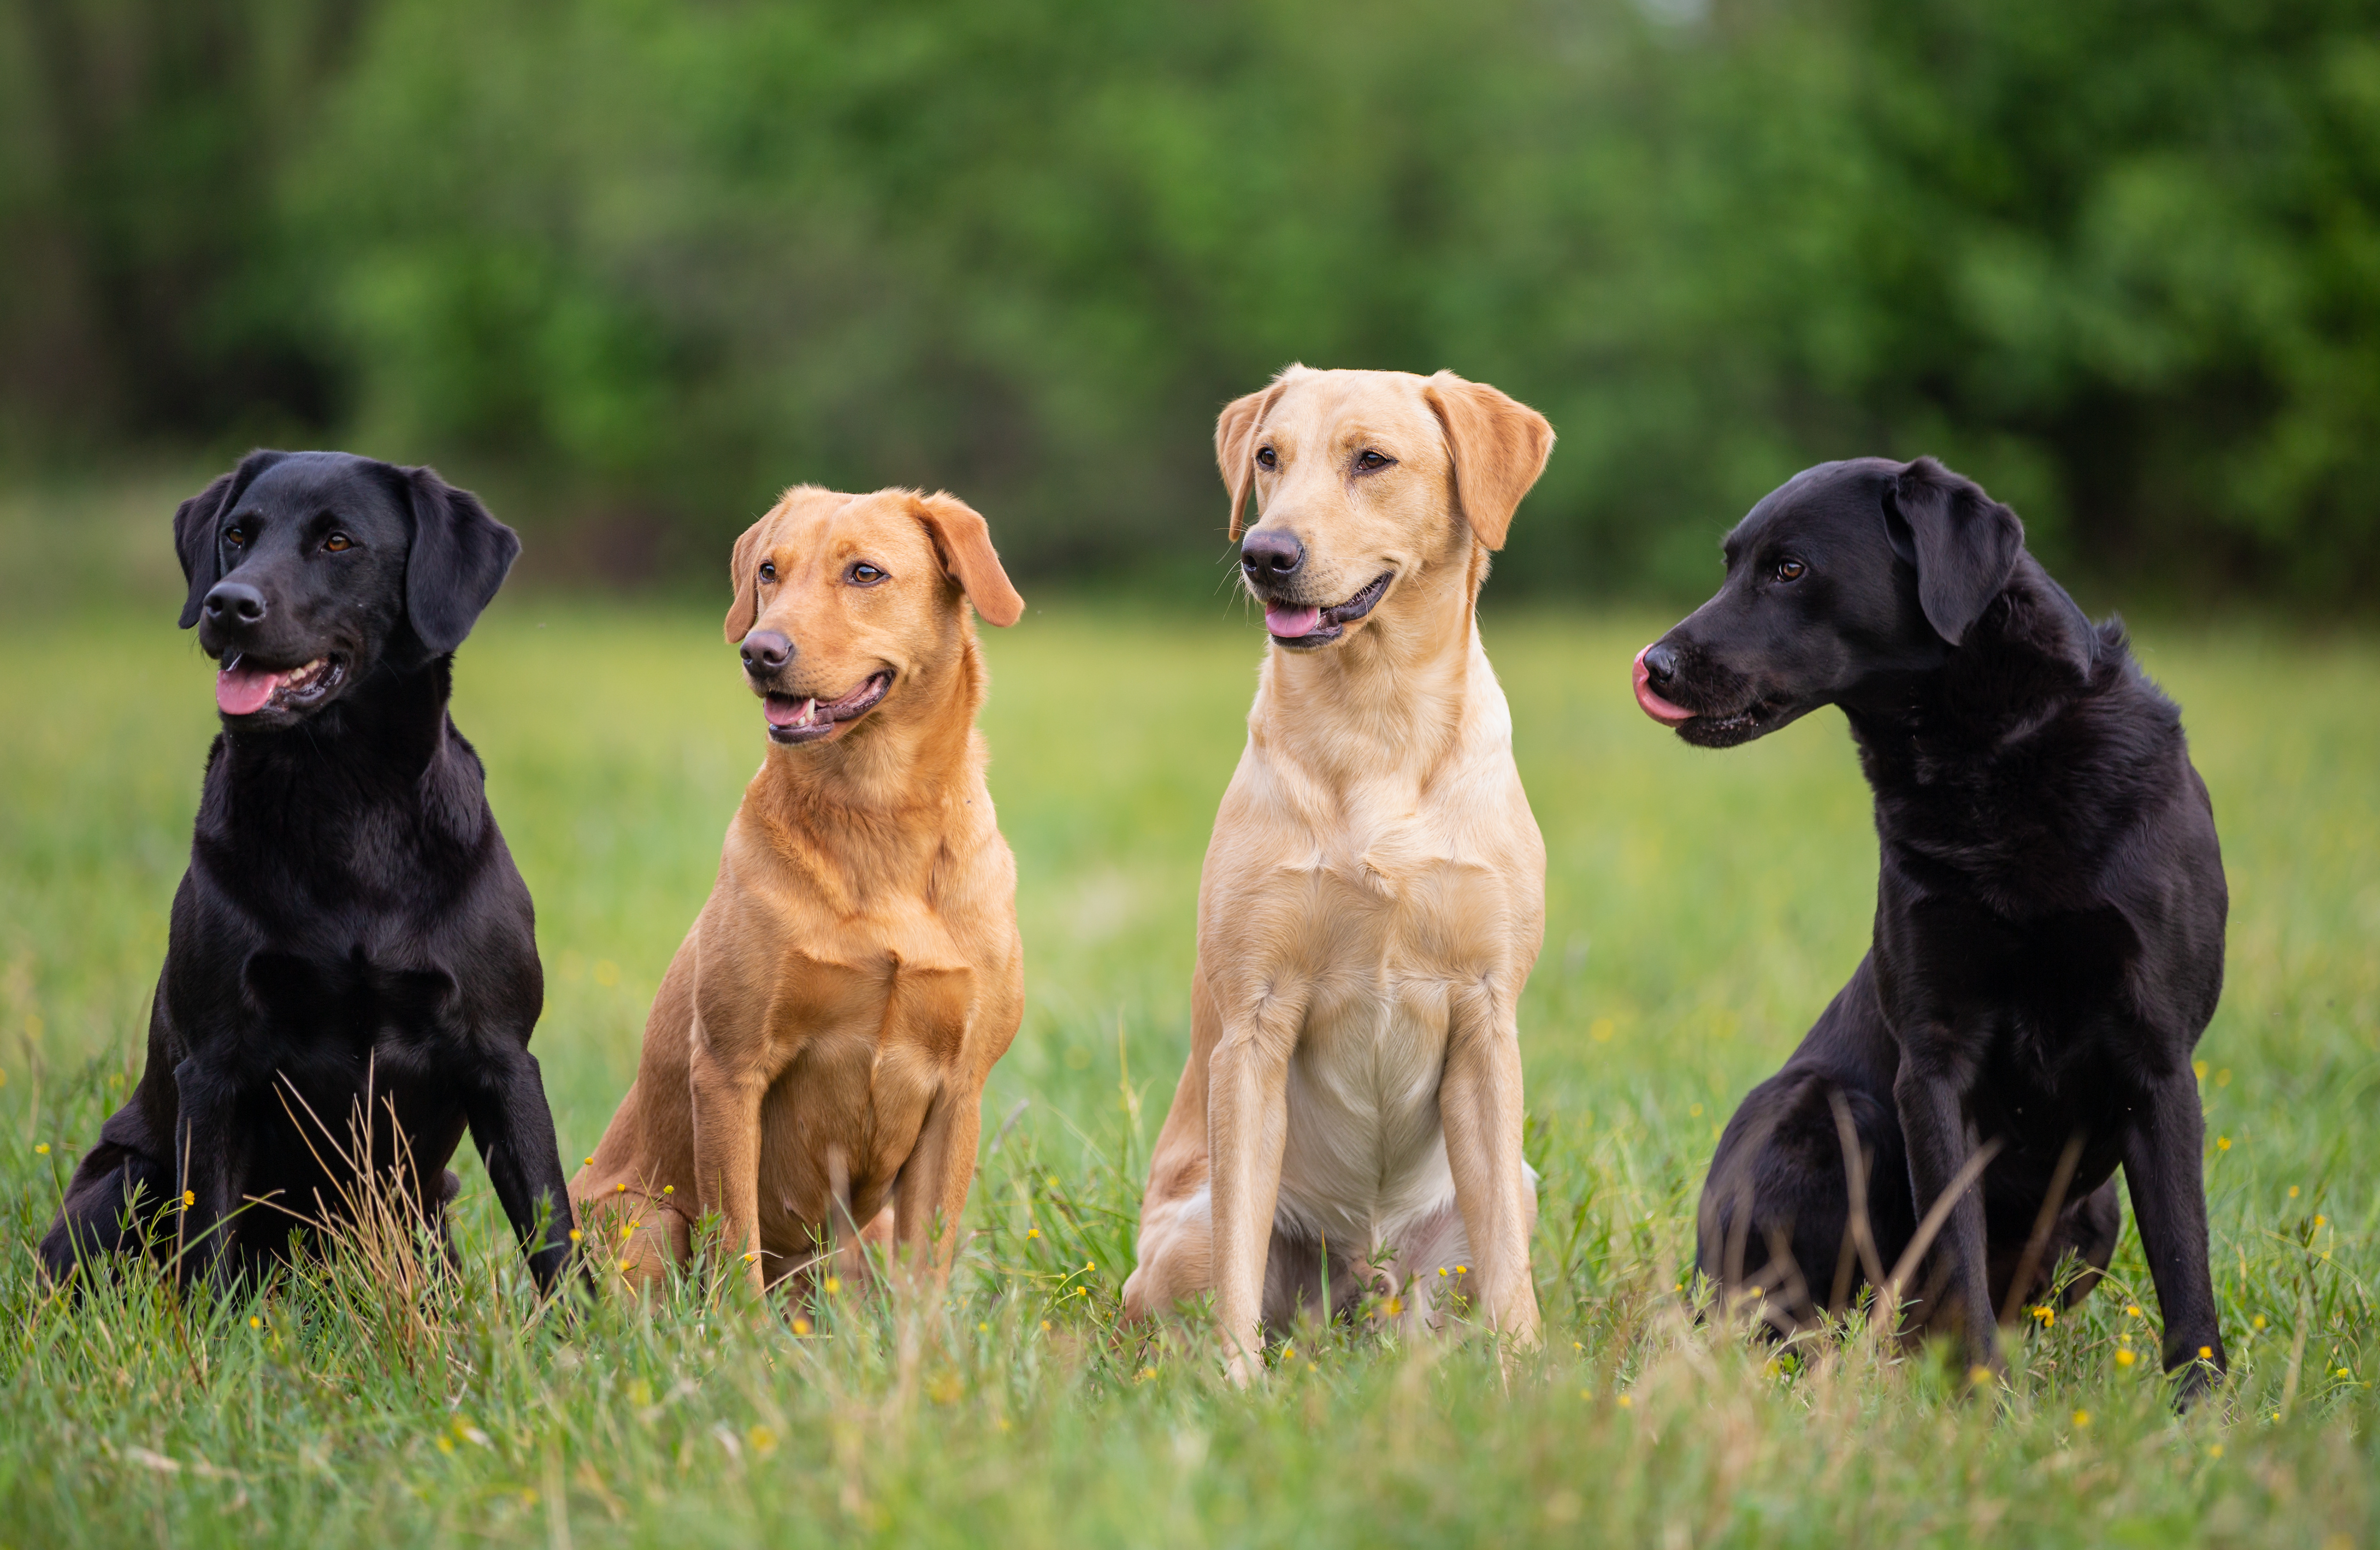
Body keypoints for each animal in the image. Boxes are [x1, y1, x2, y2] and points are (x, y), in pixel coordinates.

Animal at [41, 452, 576, 1295]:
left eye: (337, 542)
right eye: (236, 534)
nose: (229, 604)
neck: (343, 801)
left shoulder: (502, 1056)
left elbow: (553, 1231)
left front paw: (583, 1326)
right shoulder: (216, 1065)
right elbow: (206, 1242)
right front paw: (210, 1332)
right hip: (124, 1179)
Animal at [578, 488, 1033, 1295]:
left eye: (865, 572)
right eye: (769, 570)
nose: (760, 651)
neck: (877, 814)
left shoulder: (960, 1091)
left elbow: (929, 1264)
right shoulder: (730, 1069)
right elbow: (737, 1245)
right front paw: (744, 1330)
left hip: (864, 1235)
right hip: (642, 1224)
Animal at [1119, 366, 1552, 1381]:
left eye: (1373, 460)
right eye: (1269, 458)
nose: (1264, 552)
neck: (1376, 716)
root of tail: (1362, 1281)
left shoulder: (1485, 1017)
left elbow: (1509, 1270)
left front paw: (1525, 1378)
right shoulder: (1255, 1028)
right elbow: (1240, 1259)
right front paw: (1237, 1386)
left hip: (1507, 1187)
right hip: (1181, 1233)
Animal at [1637, 454, 2227, 1390]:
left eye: (1789, 568)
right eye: (1730, 563)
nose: (1654, 665)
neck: (1994, 755)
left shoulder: (2159, 1056)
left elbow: (2183, 1257)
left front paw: (2202, 1405)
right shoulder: (1934, 1057)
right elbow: (1956, 1246)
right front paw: (1983, 1396)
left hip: (2094, 1210)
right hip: (1823, 1109)